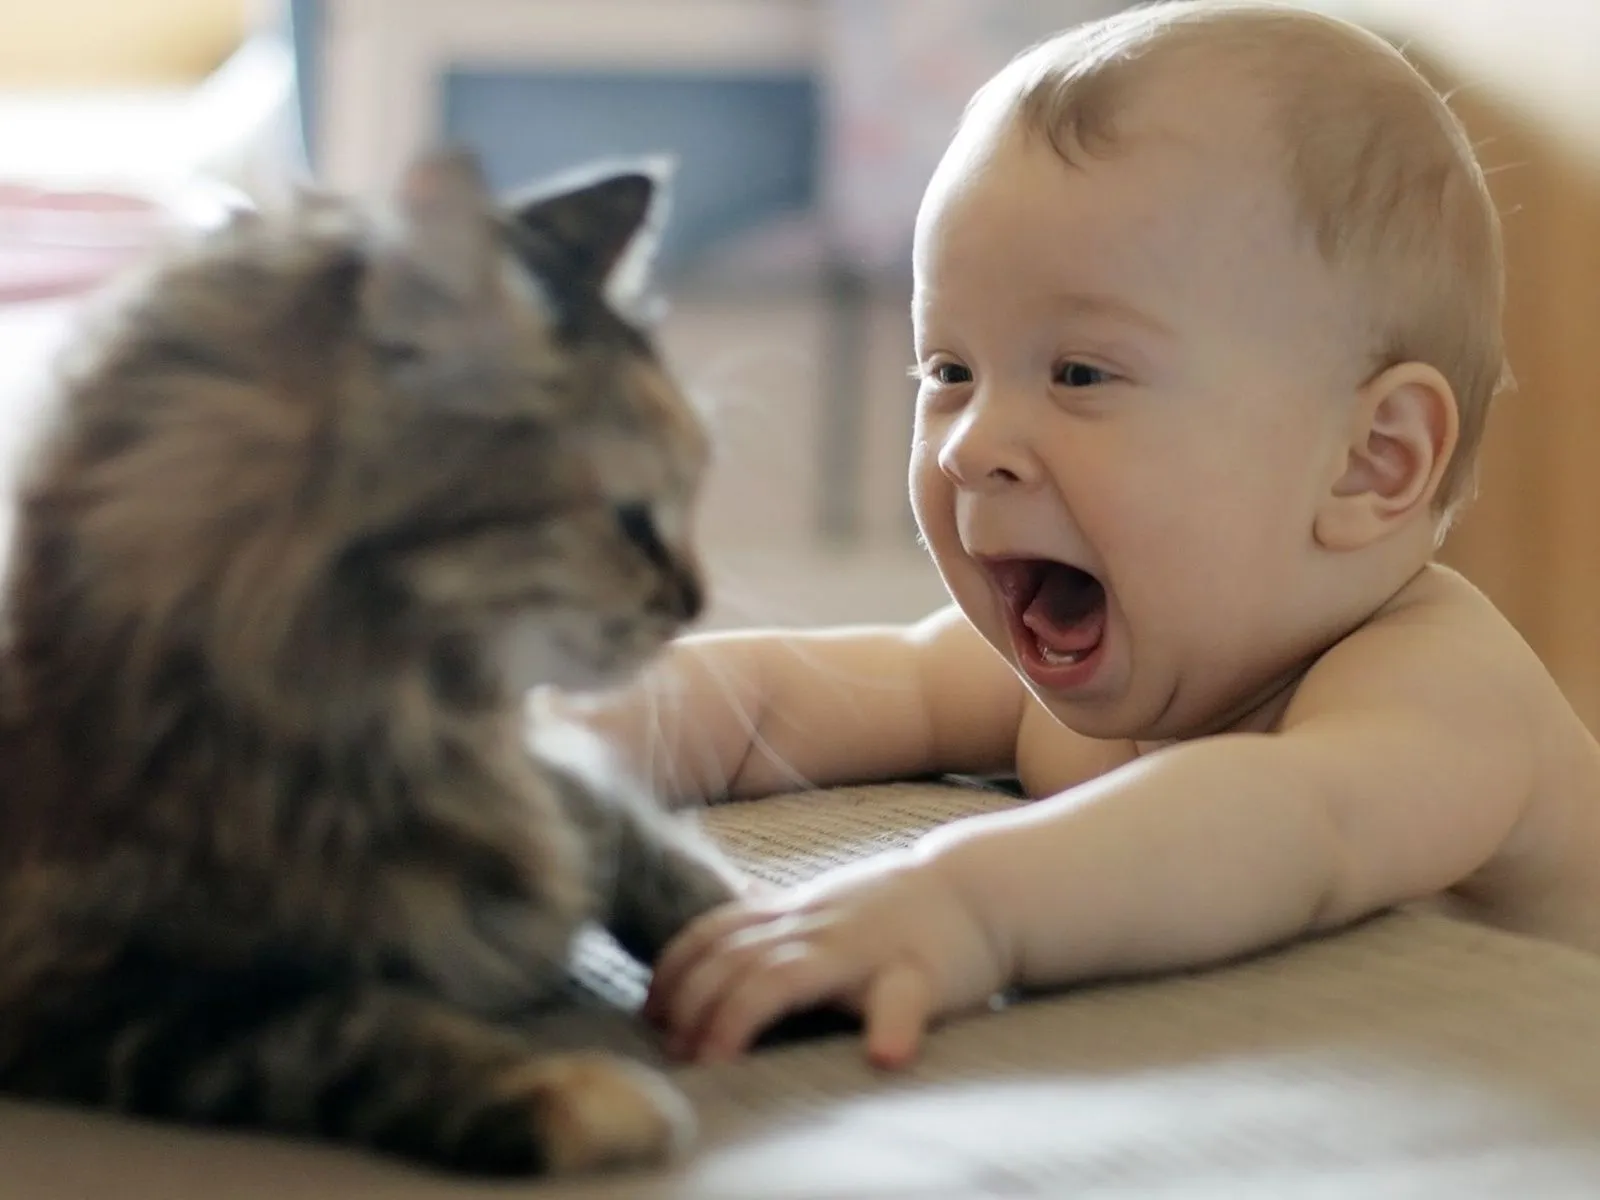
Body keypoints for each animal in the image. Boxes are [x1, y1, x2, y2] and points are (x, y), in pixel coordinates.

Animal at [0, 145, 742, 1177]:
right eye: (634, 520)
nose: (695, 605)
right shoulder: (87, 996)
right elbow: (356, 1028)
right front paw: (569, 1093)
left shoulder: (551, 775)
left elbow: (644, 845)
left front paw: (767, 941)